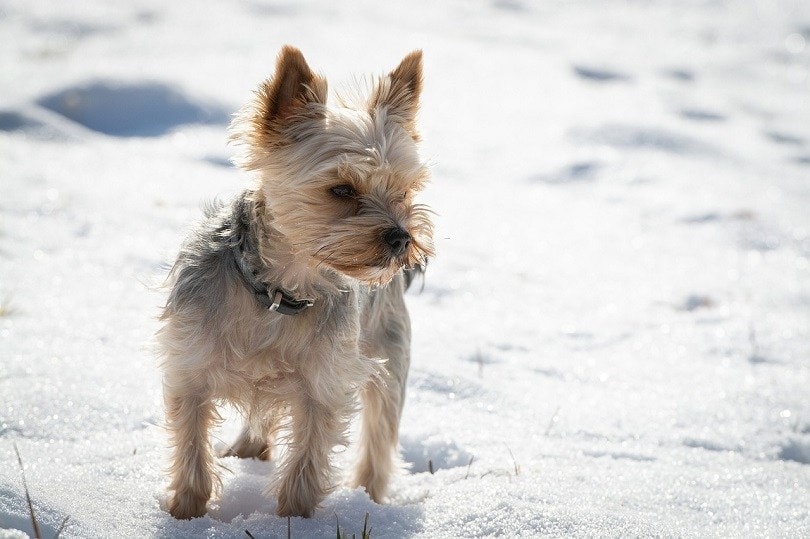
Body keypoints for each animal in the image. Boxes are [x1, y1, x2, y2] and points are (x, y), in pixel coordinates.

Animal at [159, 46, 436, 520]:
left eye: (403, 190)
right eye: (341, 190)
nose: (402, 238)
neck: (278, 291)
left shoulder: (324, 384)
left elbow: (307, 460)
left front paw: (293, 520)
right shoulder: (189, 367)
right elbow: (191, 444)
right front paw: (186, 513)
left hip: (388, 350)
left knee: (379, 434)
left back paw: (370, 498)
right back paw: (248, 449)